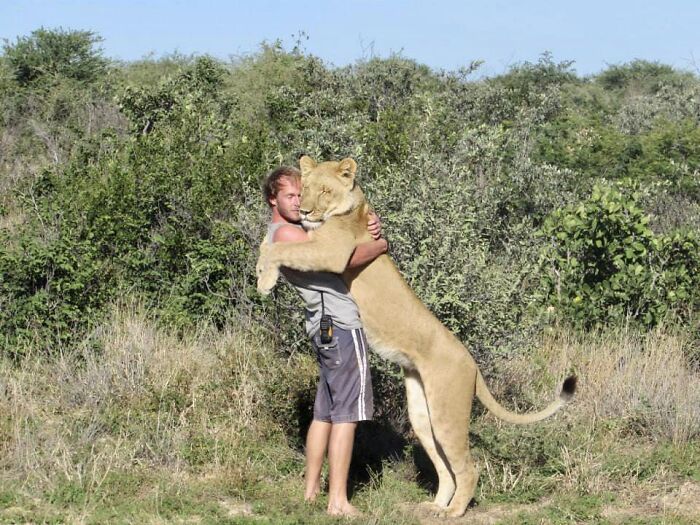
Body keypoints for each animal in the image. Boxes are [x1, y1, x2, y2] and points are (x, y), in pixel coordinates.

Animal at [256, 156, 576, 517]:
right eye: (304, 190)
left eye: (324, 191)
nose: (304, 211)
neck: (350, 209)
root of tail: (473, 364)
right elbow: (275, 244)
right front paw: (262, 264)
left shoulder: (334, 254)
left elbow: (282, 248)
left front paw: (264, 278)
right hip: (423, 414)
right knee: (445, 466)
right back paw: (435, 505)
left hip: (448, 411)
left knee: (468, 467)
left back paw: (453, 512)